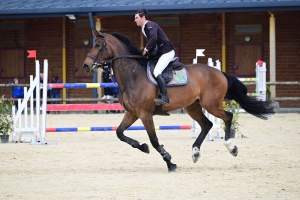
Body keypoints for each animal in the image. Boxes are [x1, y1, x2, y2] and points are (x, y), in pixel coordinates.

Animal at [81, 28, 274, 173]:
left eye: (98, 45)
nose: (86, 65)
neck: (132, 74)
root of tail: (219, 72)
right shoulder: (132, 113)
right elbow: (120, 133)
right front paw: (143, 147)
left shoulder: (145, 114)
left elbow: (154, 140)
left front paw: (170, 162)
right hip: (193, 107)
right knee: (207, 125)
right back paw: (195, 152)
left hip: (210, 105)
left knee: (227, 116)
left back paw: (231, 147)